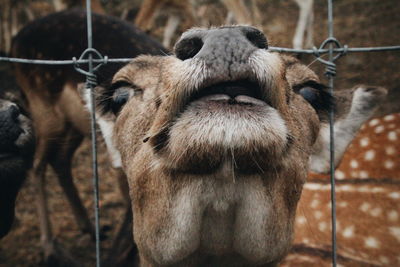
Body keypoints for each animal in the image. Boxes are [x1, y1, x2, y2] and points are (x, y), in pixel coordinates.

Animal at [10, 8, 166, 266]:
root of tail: (14, 42)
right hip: (44, 108)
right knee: (38, 163)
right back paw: (51, 248)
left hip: (74, 125)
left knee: (60, 159)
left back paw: (91, 229)